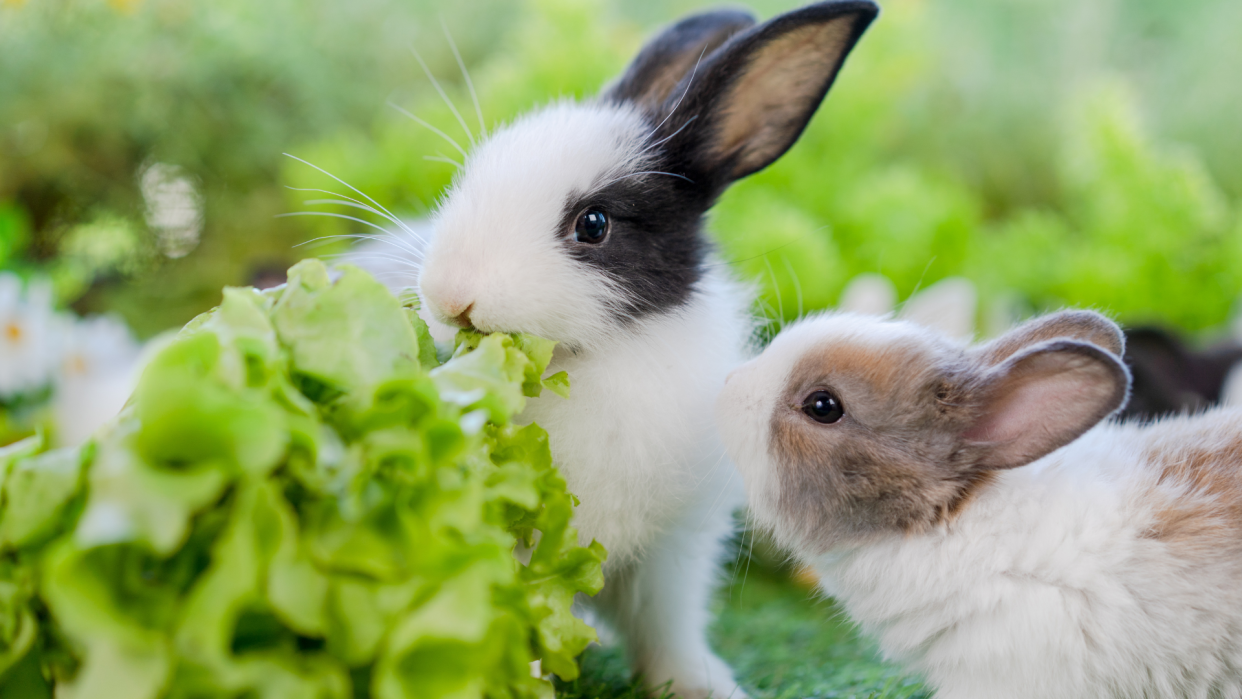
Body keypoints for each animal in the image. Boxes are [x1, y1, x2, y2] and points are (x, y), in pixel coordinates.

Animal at [345, 2, 879, 695]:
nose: (449, 295)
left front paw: (699, 684)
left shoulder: (675, 549)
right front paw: (526, 680)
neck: (595, 359)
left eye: (593, 225)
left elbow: (666, 628)